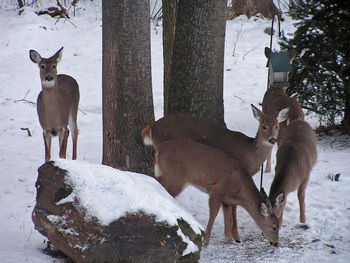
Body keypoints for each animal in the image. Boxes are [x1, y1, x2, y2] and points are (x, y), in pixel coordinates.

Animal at [141, 104, 288, 243]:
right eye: (263, 126)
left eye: (276, 126)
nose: (272, 140)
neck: (251, 153)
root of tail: (151, 127)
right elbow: (233, 207)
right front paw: (235, 236)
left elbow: (227, 207)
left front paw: (229, 235)